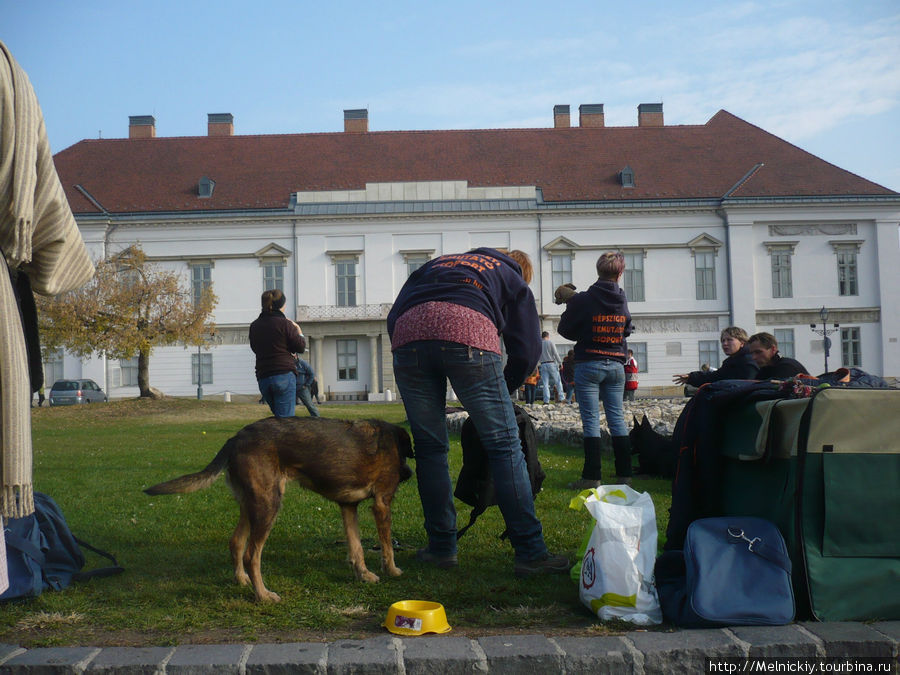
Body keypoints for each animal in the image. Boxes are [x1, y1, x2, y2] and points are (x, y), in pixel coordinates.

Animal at [144, 418, 414, 604]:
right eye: (405, 457)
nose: (409, 475)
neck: (392, 441)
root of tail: (235, 439)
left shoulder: (348, 506)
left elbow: (356, 547)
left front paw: (363, 575)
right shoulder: (382, 503)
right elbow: (387, 546)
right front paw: (392, 570)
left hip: (252, 504)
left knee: (236, 542)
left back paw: (241, 580)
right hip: (269, 505)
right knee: (251, 554)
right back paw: (263, 595)